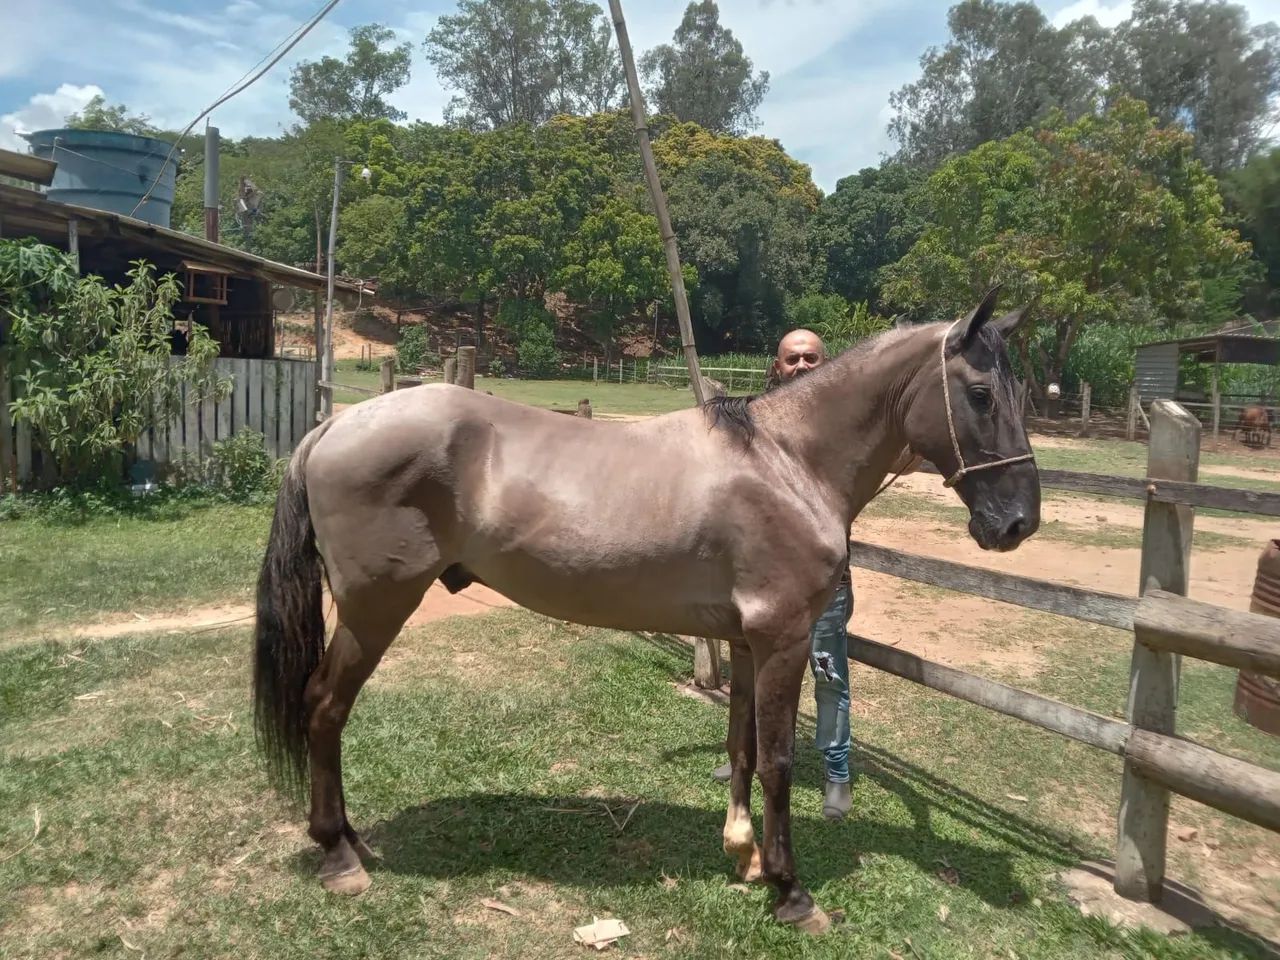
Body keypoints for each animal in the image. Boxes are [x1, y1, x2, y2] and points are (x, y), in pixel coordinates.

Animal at [251, 286, 1041, 935]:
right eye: (979, 393)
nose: (1017, 524)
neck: (787, 462)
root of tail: (332, 429)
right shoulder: (784, 640)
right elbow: (780, 759)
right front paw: (791, 892)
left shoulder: (749, 643)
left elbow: (741, 746)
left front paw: (744, 855)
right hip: (373, 610)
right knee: (324, 707)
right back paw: (338, 854)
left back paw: (352, 839)